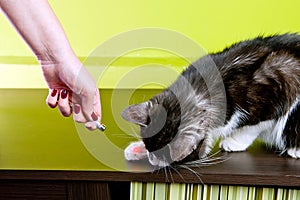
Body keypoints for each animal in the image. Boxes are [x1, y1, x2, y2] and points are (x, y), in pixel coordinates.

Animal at [121, 33, 300, 167]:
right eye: (149, 147)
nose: (152, 160)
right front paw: (137, 149)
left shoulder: (272, 99)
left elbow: (252, 127)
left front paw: (235, 141)